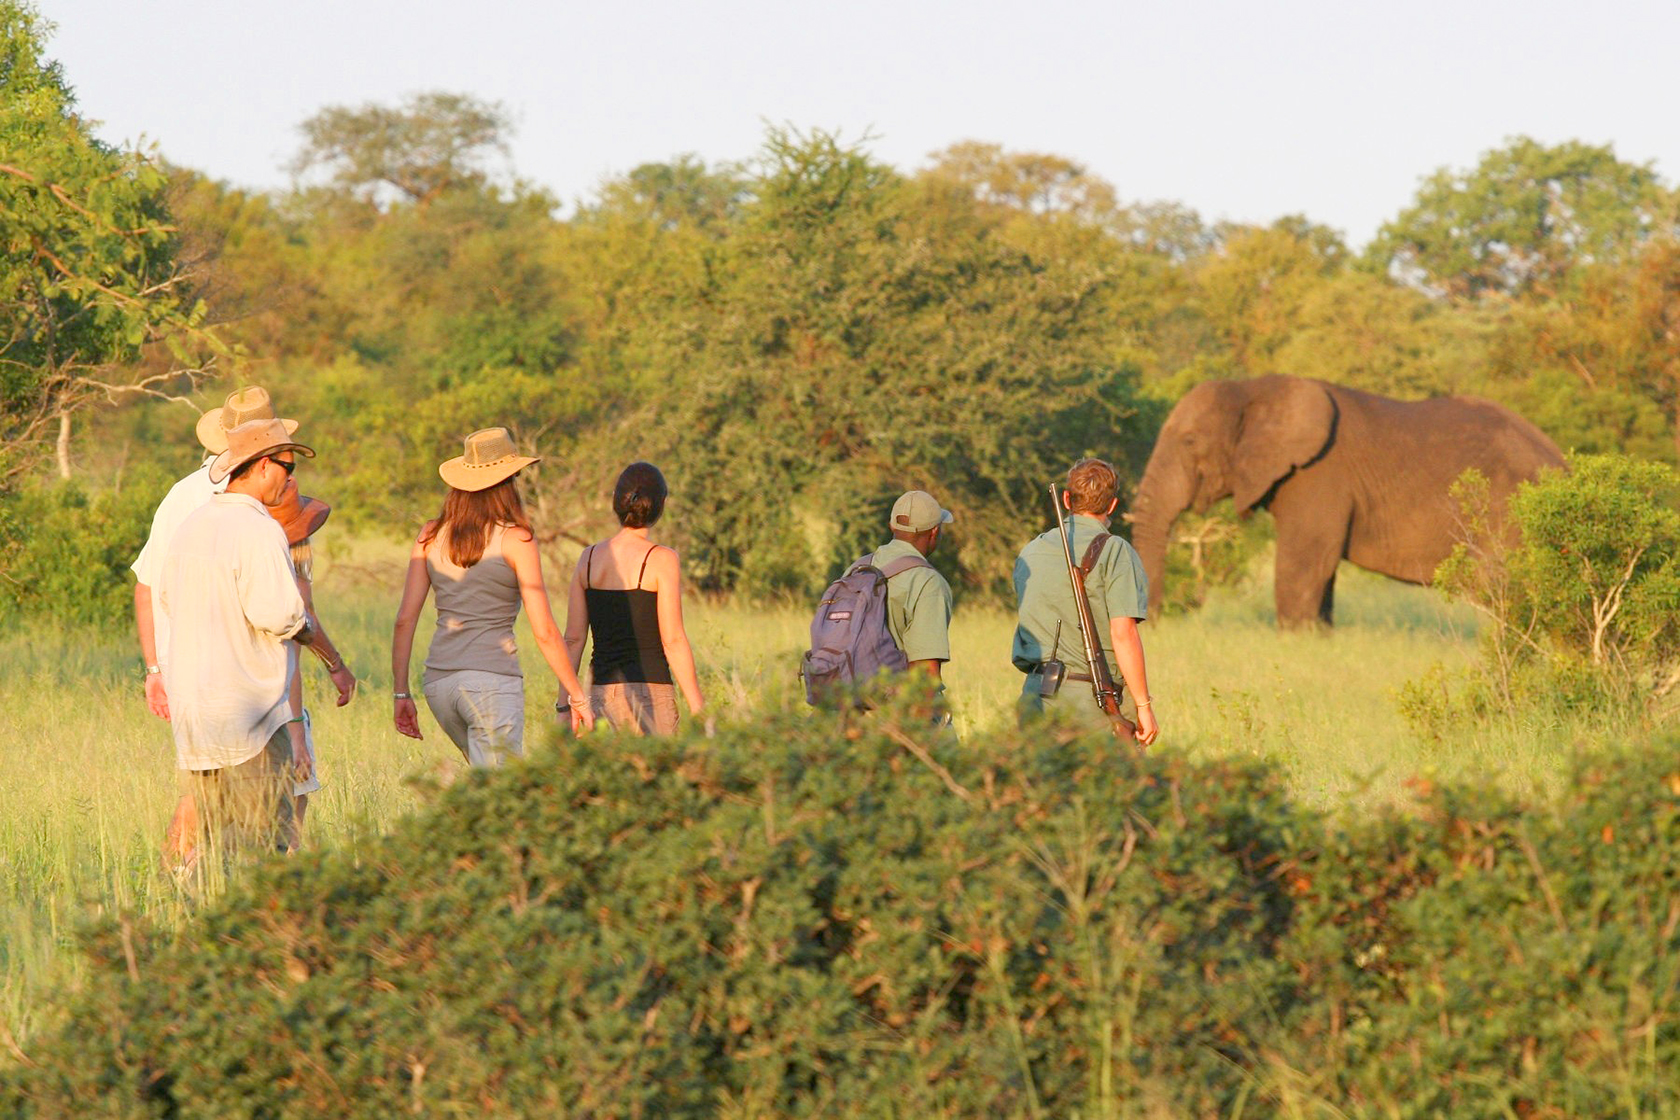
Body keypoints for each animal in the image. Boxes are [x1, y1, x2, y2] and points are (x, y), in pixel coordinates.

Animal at [1129, 376, 1566, 628]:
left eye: (1189, 442)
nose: (1150, 624)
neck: (1256, 386)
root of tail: (1562, 462)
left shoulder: (1320, 476)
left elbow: (1304, 564)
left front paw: (1295, 642)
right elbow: (1321, 574)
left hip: (1508, 509)